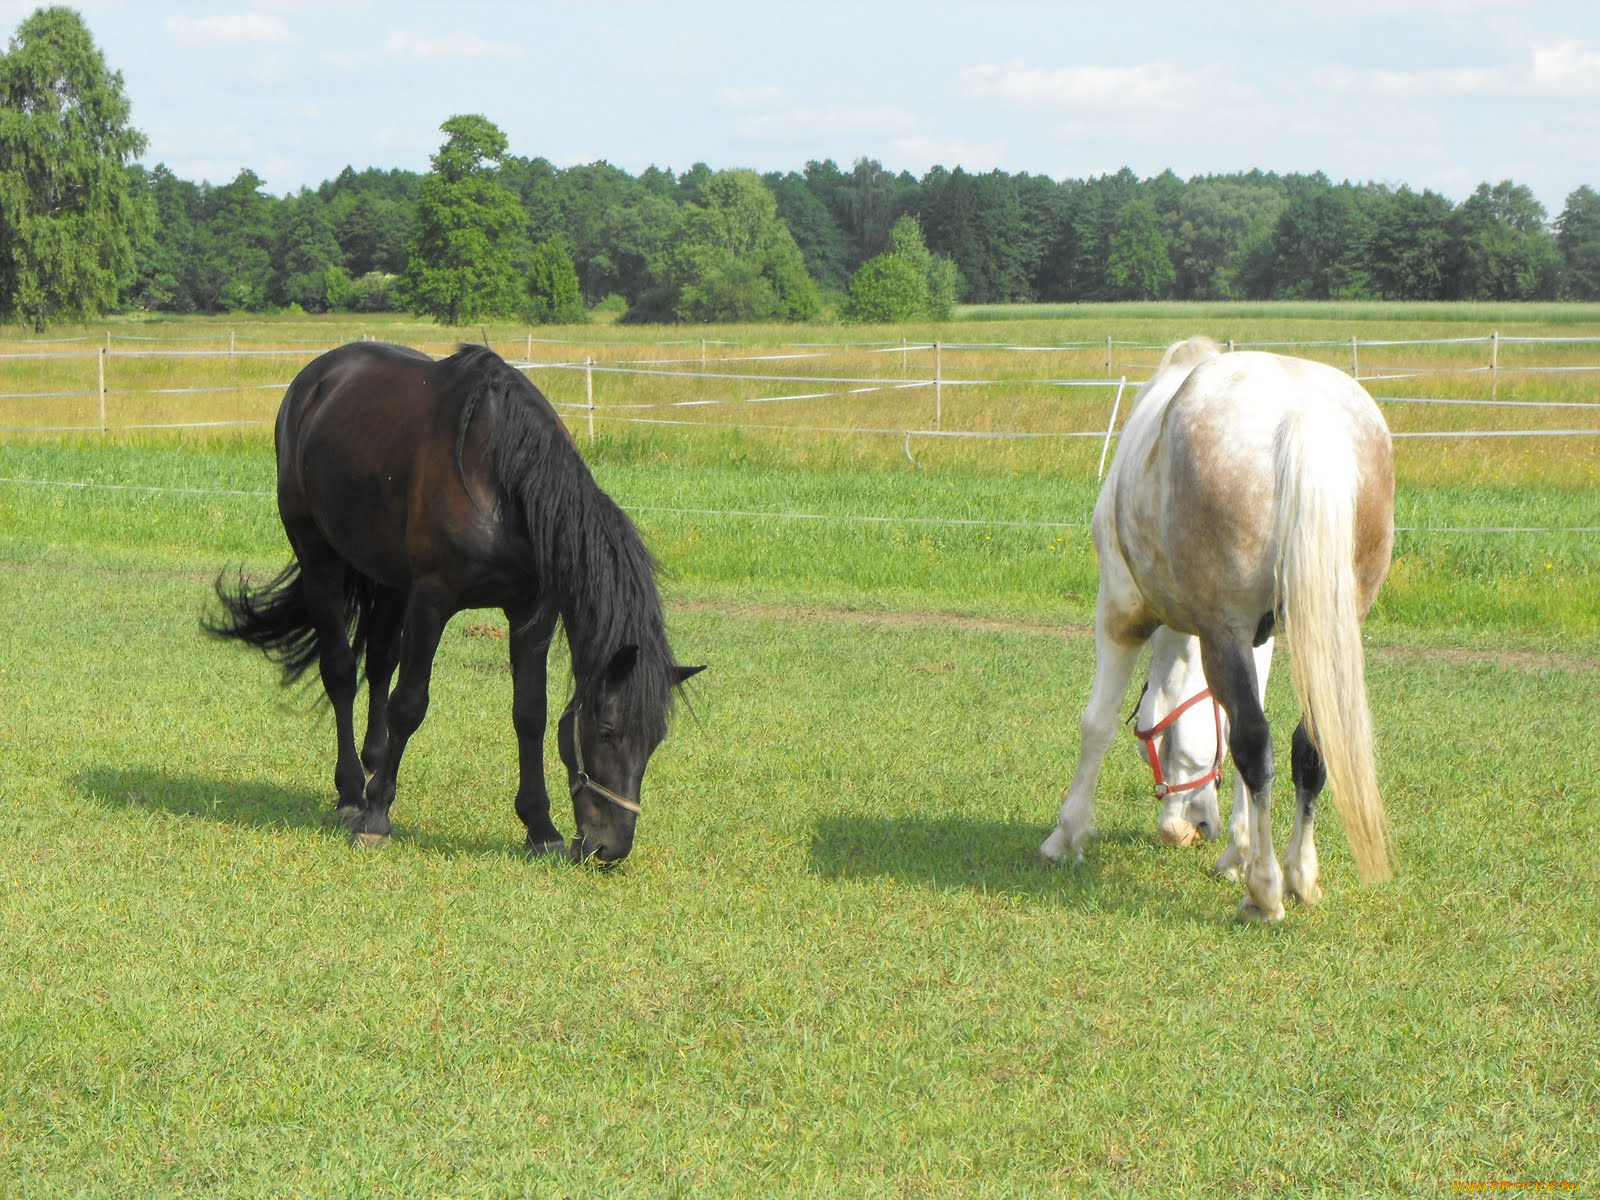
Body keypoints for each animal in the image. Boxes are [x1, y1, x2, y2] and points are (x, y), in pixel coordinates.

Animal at [206, 340, 700, 864]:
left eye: (656, 740)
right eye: (606, 731)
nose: (611, 848)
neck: (504, 480)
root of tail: (314, 378)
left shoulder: (532, 612)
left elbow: (531, 714)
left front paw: (540, 828)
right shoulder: (432, 599)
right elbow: (410, 703)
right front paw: (376, 819)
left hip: (389, 578)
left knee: (379, 663)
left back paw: (374, 767)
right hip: (319, 558)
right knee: (340, 671)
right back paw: (352, 795)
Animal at [1043, 336, 1395, 921]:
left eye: (1154, 742)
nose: (1188, 829)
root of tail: (1302, 415)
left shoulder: (1122, 612)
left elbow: (1097, 723)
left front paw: (1066, 835)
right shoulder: (1260, 637)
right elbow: (1233, 733)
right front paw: (1238, 851)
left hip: (1222, 629)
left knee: (1256, 741)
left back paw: (1266, 893)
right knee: (1307, 743)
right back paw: (1300, 875)